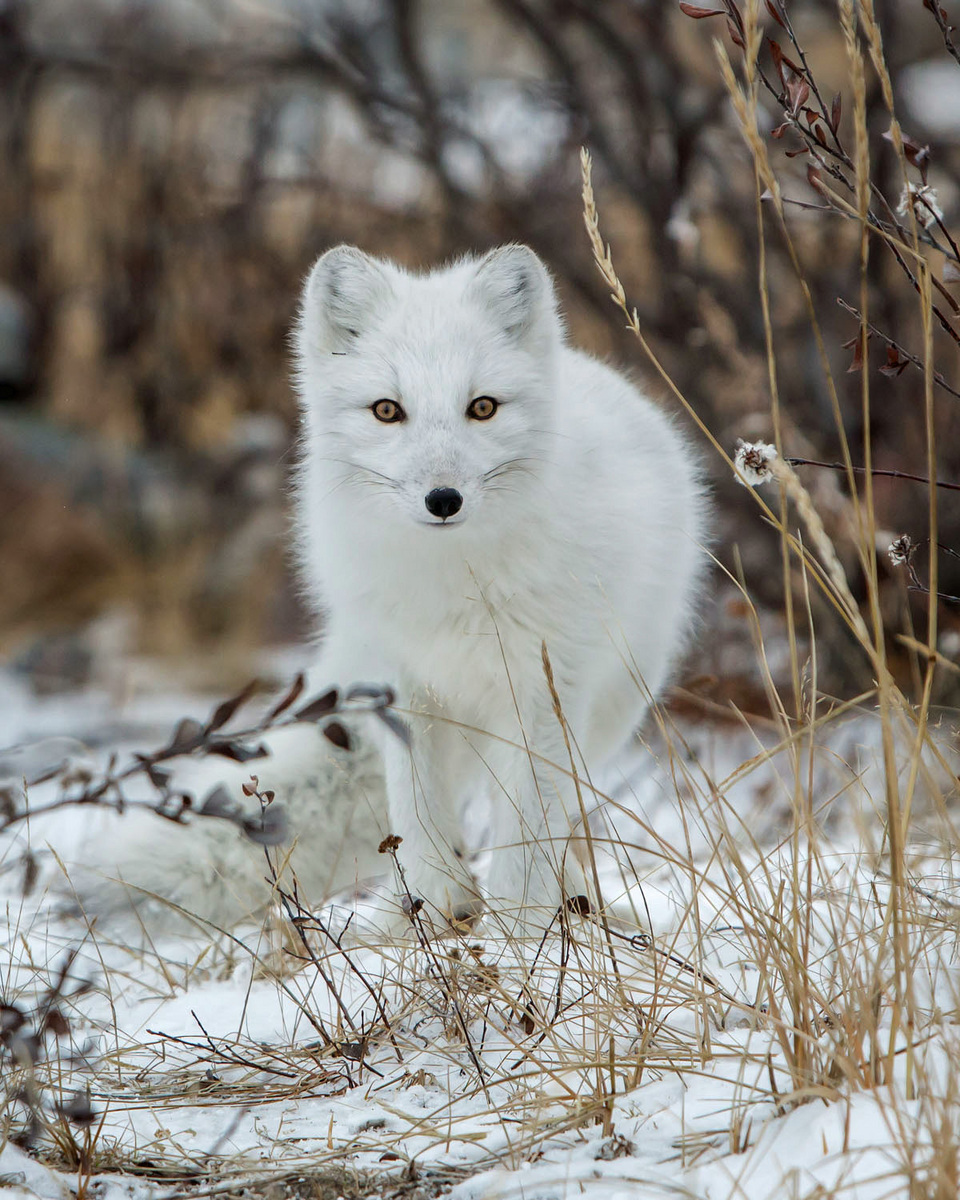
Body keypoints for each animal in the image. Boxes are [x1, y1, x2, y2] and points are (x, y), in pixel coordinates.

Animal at [294, 243, 709, 939]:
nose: (443, 500)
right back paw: (391, 915)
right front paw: (434, 909)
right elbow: (417, 811)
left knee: (549, 814)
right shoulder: (410, 686)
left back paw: (577, 903)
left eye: (482, 407)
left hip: (611, 703)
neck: (454, 583)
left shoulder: (542, 687)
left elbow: (527, 827)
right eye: (387, 410)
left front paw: (518, 940)